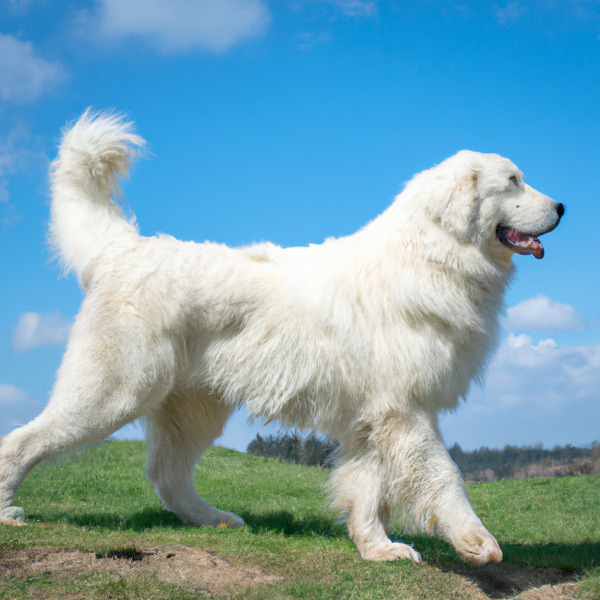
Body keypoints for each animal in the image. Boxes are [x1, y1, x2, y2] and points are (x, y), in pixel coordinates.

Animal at [1, 112, 564, 568]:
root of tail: (125, 248)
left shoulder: (375, 420)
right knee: (23, 441)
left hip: (192, 409)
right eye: (513, 181)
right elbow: (445, 476)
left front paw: (378, 549)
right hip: (112, 393)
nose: (561, 205)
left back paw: (214, 519)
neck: (431, 256)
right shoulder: (407, 412)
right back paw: (8, 511)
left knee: (166, 473)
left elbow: (367, 491)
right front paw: (475, 541)